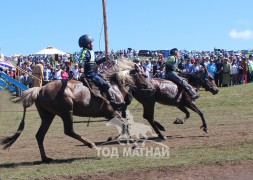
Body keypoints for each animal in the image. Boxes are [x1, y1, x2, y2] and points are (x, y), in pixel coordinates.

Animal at [0, 64, 150, 163]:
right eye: (144, 75)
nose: (149, 87)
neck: (114, 87)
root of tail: (40, 89)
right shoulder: (112, 113)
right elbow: (124, 125)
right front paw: (126, 142)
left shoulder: (115, 114)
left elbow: (125, 125)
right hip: (67, 113)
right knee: (69, 131)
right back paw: (90, 144)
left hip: (48, 116)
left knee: (40, 135)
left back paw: (45, 158)